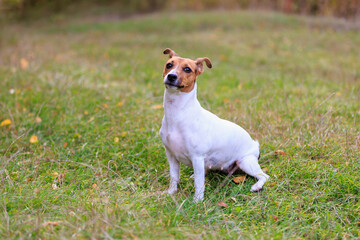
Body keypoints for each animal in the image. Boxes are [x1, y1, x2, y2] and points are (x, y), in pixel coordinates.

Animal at [159, 48, 268, 201]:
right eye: (169, 65)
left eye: (187, 69)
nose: (171, 76)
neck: (178, 113)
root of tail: (255, 144)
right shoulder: (171, 155)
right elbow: (174, 177)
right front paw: (171, 193)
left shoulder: (197, 157)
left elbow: (199, 184)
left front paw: (197, 201)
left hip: (246, 162)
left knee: (264, 176)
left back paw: (257, 186)